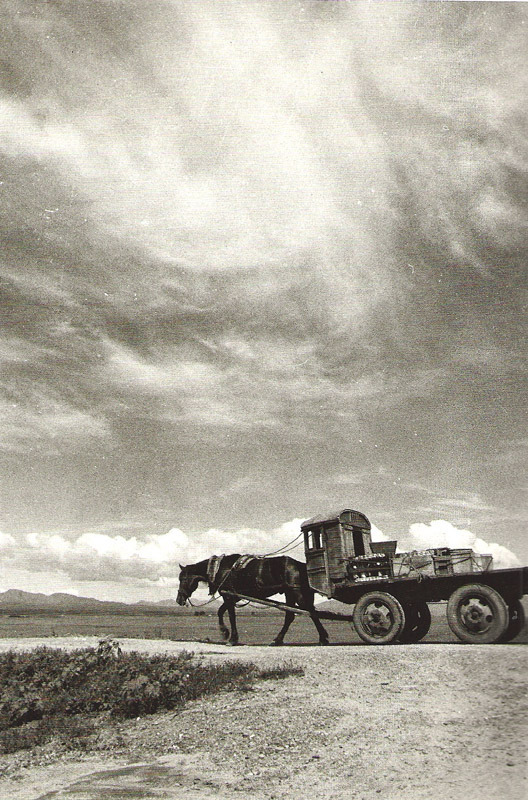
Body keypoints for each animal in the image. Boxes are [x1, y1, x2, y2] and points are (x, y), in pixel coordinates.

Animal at [175, 552, 328, 648]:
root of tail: (300, 564)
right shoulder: (233, 597)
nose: (178, 600)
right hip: (289, 594)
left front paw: (231, 638)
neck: (220, 569)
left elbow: (231, 616)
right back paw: (277, 640)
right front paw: (225, 633)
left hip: (297, 593)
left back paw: (323, 638)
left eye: (182, 579)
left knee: (311, 612)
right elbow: (220, 611)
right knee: (290, 616)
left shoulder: (229, 596)